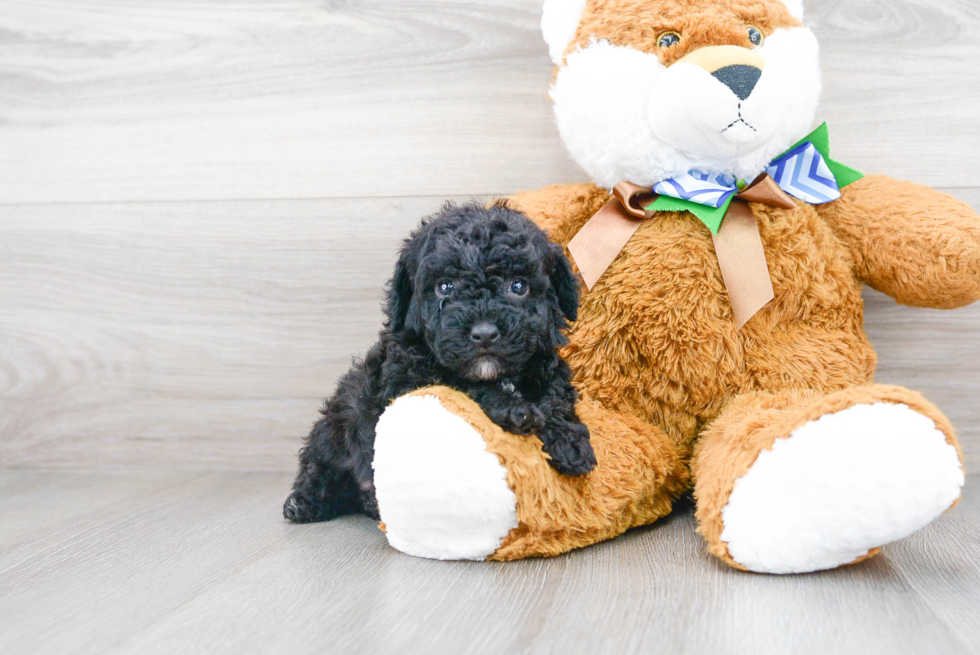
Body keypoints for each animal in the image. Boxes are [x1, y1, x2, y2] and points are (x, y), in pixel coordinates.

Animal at [280, 202, 592, 524]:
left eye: (518, 286)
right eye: (445, 287)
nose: (484, 333)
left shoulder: (543, 360)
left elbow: (555, 393)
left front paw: (569, 441)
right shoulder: (408, 378)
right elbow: (462, 384)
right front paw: (516, 410)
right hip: (333, 430)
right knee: (319, 466)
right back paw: (303, 504)